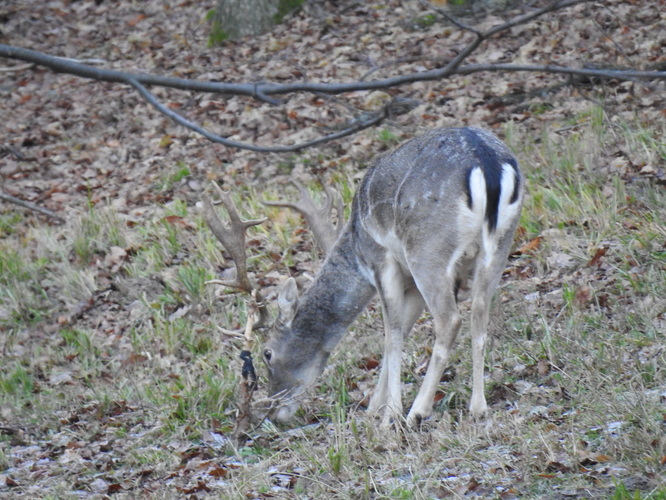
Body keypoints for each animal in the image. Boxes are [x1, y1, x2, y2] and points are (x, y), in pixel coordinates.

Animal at [205, 127, 520, 428]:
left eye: (267, 353)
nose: (272, 412)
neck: (355, 248)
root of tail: (487, 163)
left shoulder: (381, 259)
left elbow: (392, 334)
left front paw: (388, 414)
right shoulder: (410, 283)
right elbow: (402, 329)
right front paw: (373, 408)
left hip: (428, 249)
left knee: (450, 320)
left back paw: (416, 412)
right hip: (499, 246)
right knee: (479, 313)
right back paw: (478, 408)